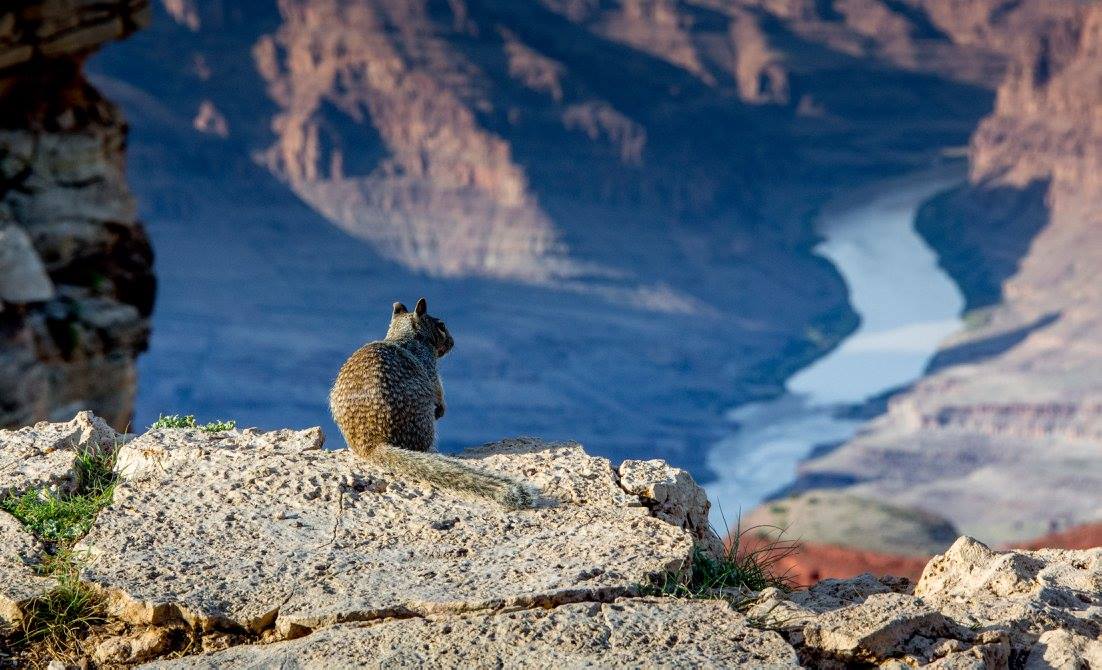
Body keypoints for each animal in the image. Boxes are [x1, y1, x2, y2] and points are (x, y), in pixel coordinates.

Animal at [326, 297, 537, 506]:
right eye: (441, 325)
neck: (405, 336)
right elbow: (438, 388)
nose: (453, 342)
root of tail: (372, 444)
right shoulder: (430, 367)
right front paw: (442, 407)